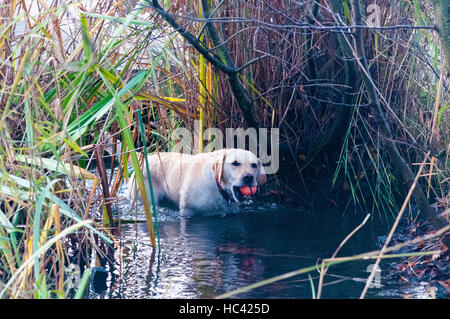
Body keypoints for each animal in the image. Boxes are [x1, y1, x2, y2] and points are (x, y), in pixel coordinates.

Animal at [126, 149, 266, 216]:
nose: (249, 177)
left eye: (254, 165)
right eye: (235, 163)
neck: (217, 185)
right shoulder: (187, 211)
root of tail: (143, 159)